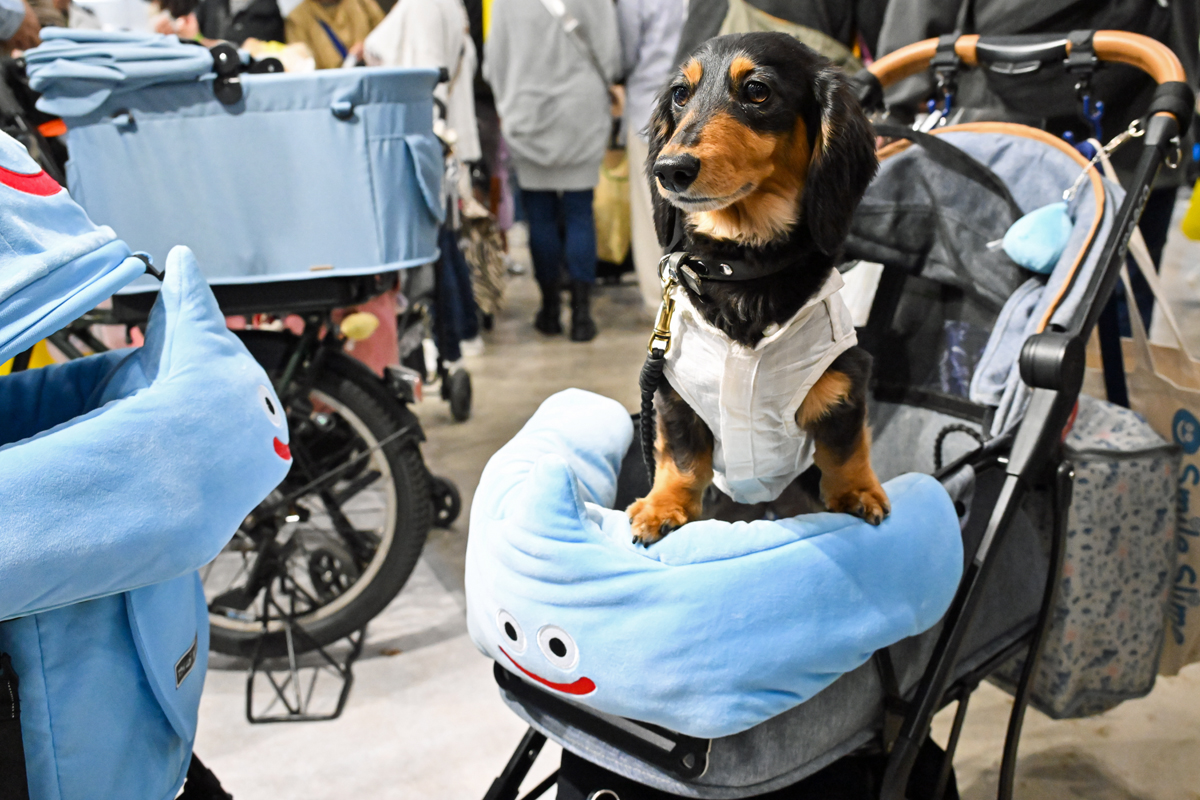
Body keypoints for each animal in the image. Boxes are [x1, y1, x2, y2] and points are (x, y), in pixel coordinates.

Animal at [626, 32, 889, 545]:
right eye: (680, 94)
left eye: (757, 91)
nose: (670, 169)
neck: (743, 265)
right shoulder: (674, 393)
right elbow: (681, 458)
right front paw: (664, 505)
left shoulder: (846, 375)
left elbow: (845, 448)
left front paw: (857, 492)